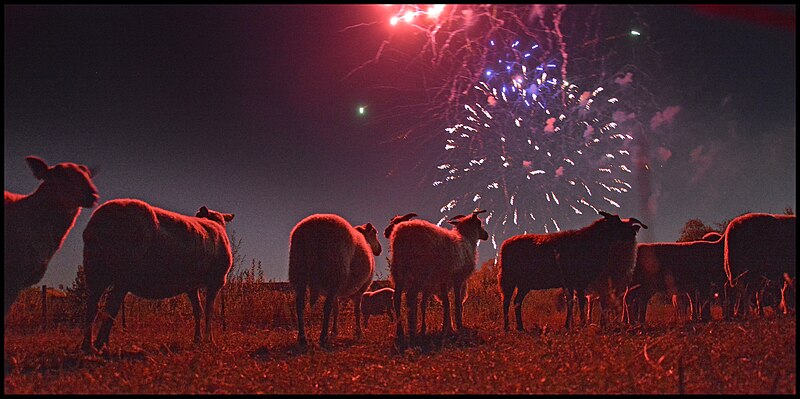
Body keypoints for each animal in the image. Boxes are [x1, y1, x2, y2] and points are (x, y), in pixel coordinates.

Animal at [80, 200, 233, 354]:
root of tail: (98, 222)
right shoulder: (217, 280)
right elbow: (209, 311)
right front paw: (209, 340)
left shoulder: (192, 286)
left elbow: (198, 311)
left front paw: (198, 339)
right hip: (123, 274)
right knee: (111, 308)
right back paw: (100, 344)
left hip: (95, 271)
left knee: (93, 306)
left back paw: (89, 346)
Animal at [288, 214, 382, 348]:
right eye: (374, 233)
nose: (379, 249)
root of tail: (312, 230)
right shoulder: (360, 288)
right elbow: (357, 310)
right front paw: (358, 332)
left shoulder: (335, 291)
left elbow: (336, 309)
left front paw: (334, 331)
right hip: (335, 271)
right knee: (326, 307)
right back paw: (323, 337)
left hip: (298, 272)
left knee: (300, 305)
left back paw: (302, 338)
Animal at [388, 208, 488, 346]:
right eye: (479, 222)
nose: (487, 235)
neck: (467, 239)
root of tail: (402, 232)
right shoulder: (458, 278)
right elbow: (457, 303)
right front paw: (459, 326)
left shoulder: (443, 280)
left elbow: (446, 303)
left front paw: (447, 328)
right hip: (419, 271)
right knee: (411, 297)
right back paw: (412, 333)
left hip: (399, 270)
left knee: (397, 298)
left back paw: (401, 333)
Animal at [496, 212, 648, 332]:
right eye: (616, 223)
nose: (633, 232)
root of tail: (505, 244)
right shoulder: (578, 282)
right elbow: (579, 303)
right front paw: (581, 324)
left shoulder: (573, 283)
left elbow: (572, 303)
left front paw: (569, 325)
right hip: (508, 280)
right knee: (506, 302)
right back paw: (507, 327)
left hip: (524, 285)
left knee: (517, 302)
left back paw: (520, 327)